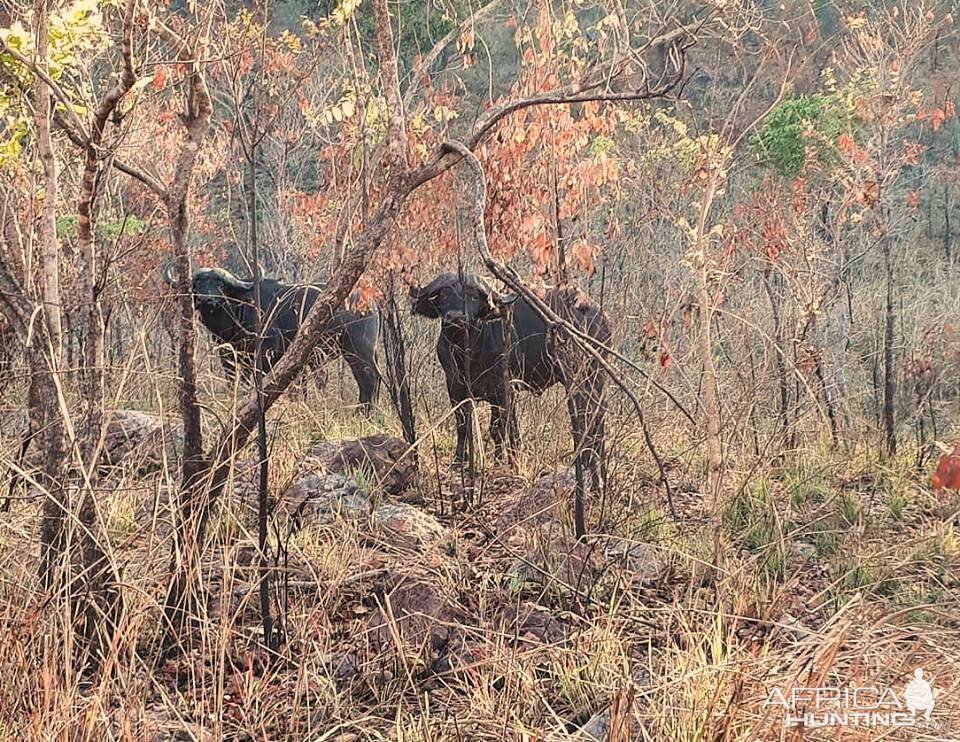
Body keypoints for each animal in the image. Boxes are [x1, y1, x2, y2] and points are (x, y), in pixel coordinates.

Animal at [169, 264, 382, 410]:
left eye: (220, 284)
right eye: (198, 283)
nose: (207, 300)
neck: (242, 308)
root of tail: (370, 301)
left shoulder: (267, 351)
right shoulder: (229, 354)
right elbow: (234, 382)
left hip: (357, 348)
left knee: (368, 379)